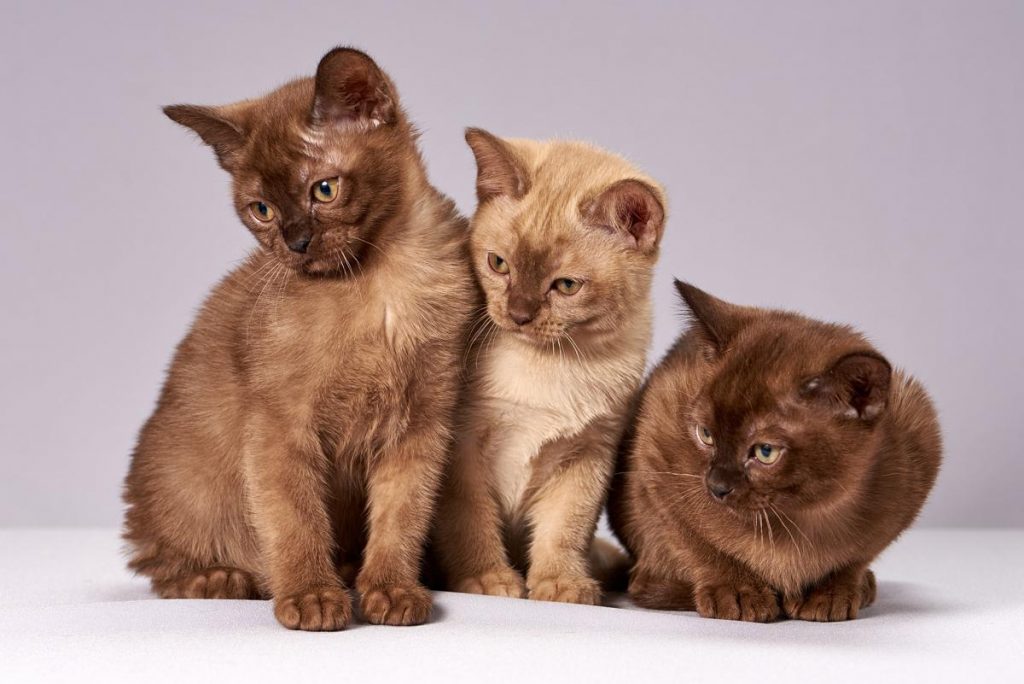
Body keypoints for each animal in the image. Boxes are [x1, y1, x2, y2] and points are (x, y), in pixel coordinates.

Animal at [122, 48, 476, 631]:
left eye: (324, 190)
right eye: (261, 209)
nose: (296, 242)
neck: (377, 288)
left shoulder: (421, 428)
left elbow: (402, 518)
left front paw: (391, 592)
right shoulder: (282, 430)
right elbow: (297, 522)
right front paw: (312, 598)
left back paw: (350, 572)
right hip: (179, 478)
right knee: (161, 564)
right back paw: (224, 580)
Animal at [431, 129, 666, 604]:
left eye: (567, 286)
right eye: (498, 264)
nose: (518, 315)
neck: (549, 367)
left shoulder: (587, 455)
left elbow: (564, 529)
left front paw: (561, 584)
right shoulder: (462, 447)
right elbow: (472, 519)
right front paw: (487, 580)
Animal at [609, 281, 941, 621]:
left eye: (765, 452)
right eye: (706, 435)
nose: (716, 487)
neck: (803, 519)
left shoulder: (919, 452)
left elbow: (855, 559)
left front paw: (830, 594)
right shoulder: (656, 462)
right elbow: (700, 545)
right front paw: (738, 592)